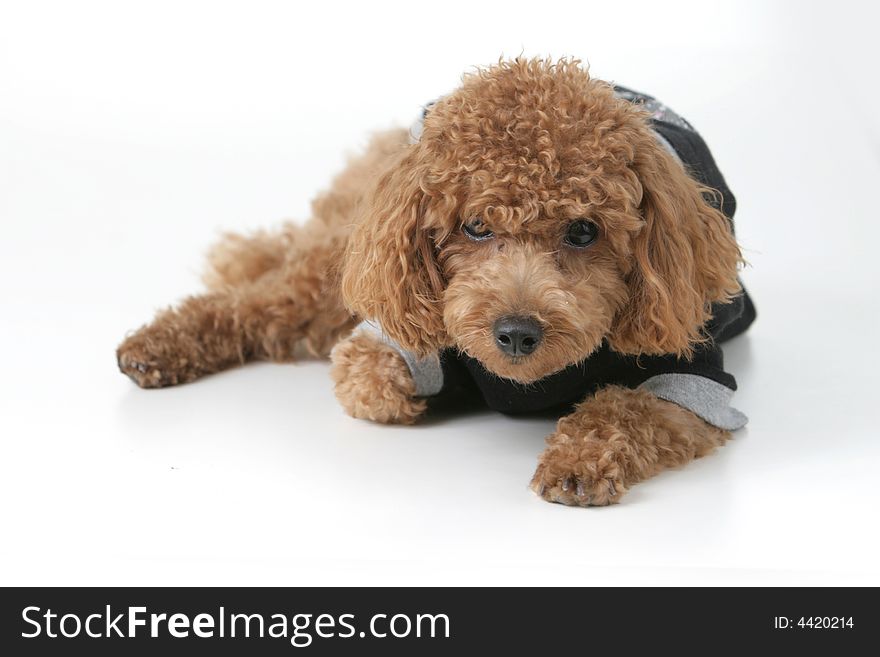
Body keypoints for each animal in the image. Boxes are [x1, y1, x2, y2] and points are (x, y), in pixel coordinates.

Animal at [118, 59, 756, 504]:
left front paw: (576, 461)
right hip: (337, 262)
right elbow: (370, 379)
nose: (516, 333)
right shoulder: (390, 336)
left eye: (583, 231)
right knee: (266, 296)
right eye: (474, 226)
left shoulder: (691, 382)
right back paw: (155, 347)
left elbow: (623, 409)